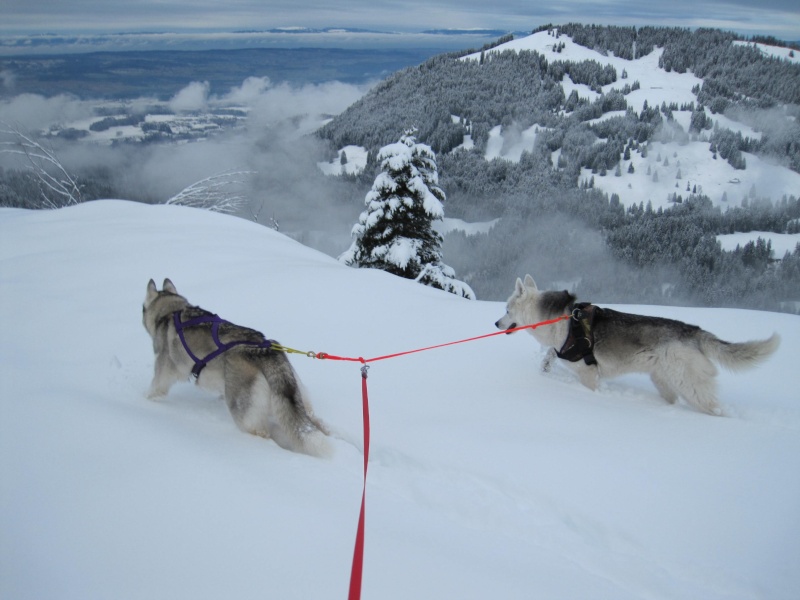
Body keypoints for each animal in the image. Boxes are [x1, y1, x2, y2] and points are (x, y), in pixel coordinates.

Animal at [142, 278, 330, 458]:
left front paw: (144, 400)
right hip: (295, 400)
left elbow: (155, 388)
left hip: (244, 414)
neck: (171, 311)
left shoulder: (164, 369)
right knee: (312, 422)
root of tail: (264, 350)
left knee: (262, 433)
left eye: (142, 308)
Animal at [494, 274, 780, 414]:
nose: (496, 323)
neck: (558, 317)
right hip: (663, 381)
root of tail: (694, 332)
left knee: (714, 409)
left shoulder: (588, 373)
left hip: (690, 386)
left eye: (507, 310)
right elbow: (548, 359)